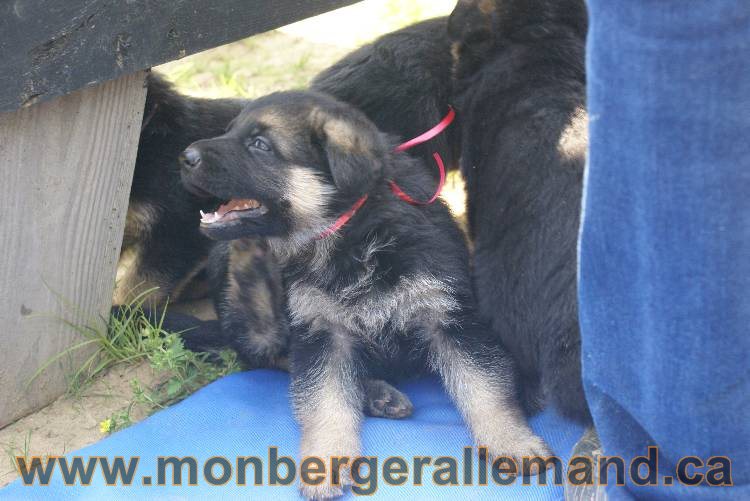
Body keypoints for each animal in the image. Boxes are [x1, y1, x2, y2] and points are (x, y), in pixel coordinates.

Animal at [179, 92, 548, 498]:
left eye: (260, 145)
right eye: (228, 131)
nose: (184, 157)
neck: (348, 232)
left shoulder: (448, 316)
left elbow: (486, 389)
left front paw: (511, 442)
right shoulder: (323, 332)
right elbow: (322, 398)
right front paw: (325, 460)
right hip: (230, 271)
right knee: (266, 346)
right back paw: (252, 263)